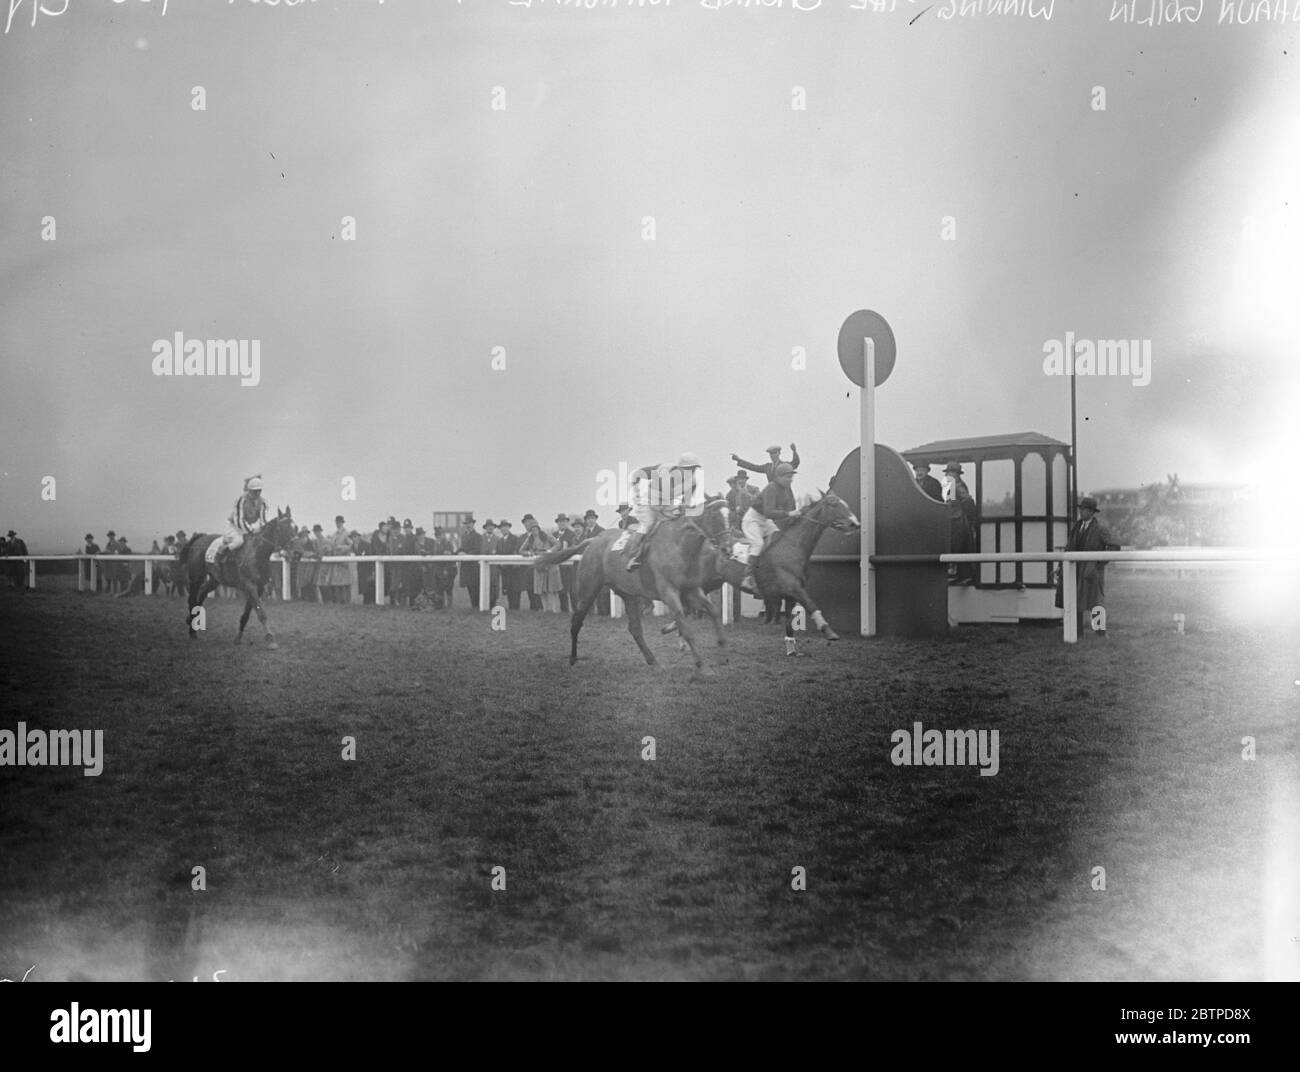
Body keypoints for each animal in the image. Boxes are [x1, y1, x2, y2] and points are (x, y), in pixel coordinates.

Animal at [178, 509, 297, 647]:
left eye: (295, 527)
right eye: (284, 528)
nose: (297, 552)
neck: (256, 554)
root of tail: (200, 537)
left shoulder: (259, 587)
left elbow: (247, 613)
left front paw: (238, 637)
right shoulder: (250, 585)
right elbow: (261, 613)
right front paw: (271, 639)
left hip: (215, 579)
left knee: (202, 594)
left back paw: (190, 620)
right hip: (196, 577)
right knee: (192, 599)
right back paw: (192, 632)